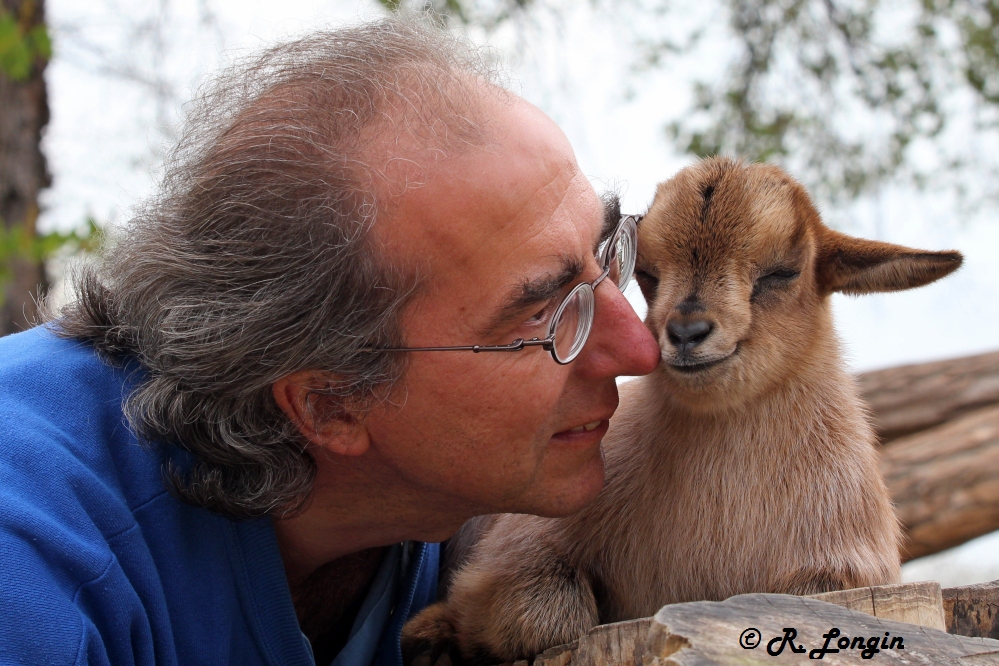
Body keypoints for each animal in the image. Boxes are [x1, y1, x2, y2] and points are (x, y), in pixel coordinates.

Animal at [402, 158, 964, 660]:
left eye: (784, 271)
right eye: (648, 273)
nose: (688, 332)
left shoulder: (841, 573)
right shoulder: (514, 550)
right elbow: (548, 612)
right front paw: (438, 632)